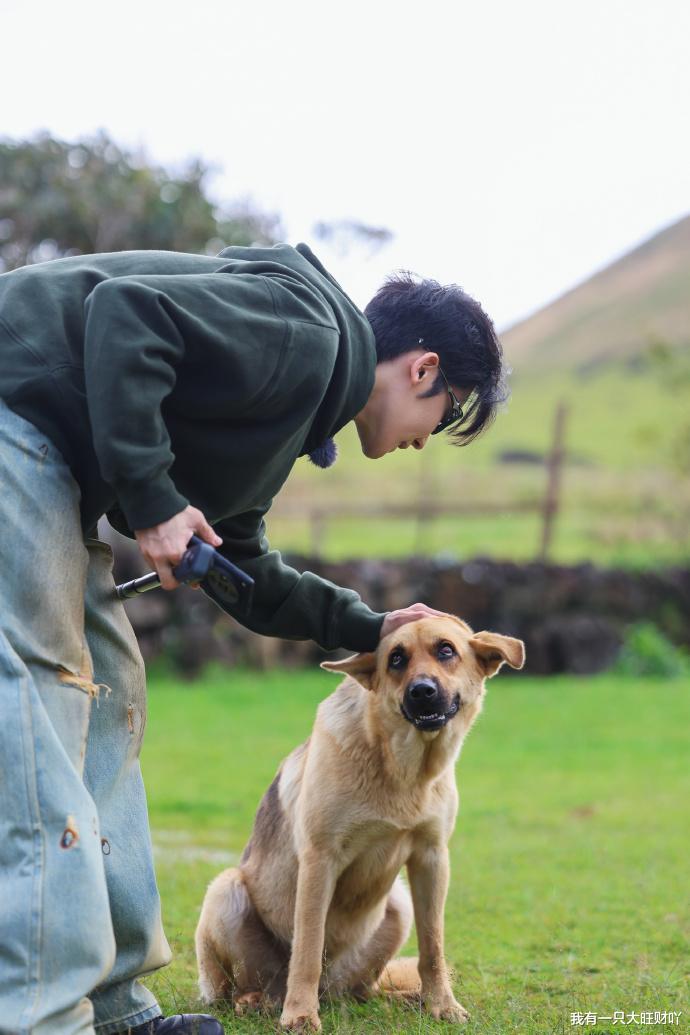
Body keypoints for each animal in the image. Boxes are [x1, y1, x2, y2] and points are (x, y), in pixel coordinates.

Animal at [194, 612, 523, 1026]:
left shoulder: (431, 858)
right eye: (396, 659)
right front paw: (300, 1016)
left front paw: (443, 1005)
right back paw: (259, 1001)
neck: (401, 768)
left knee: (366, 991)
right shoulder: (320, 860)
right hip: (226, 891)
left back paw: (404, 999)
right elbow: (308, 948)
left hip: (398, 903)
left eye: (446, 650)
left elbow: (433, 948)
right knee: (237, 989)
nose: (422, 691)